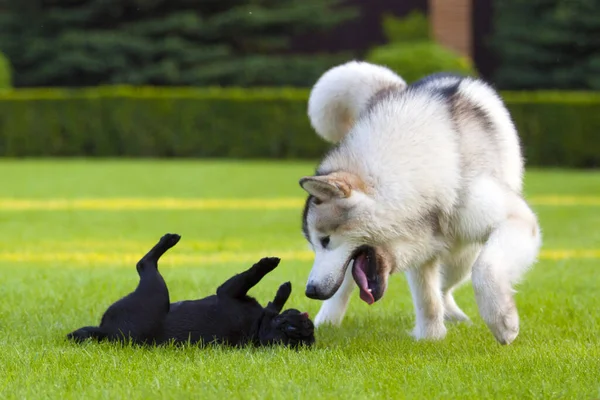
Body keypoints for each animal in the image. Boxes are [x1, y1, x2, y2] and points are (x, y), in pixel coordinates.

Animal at [67, 233, 314, 348]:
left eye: (290, 330)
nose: (307, 325)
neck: (258, 328)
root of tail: (104, 332)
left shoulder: (228, 290)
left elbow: (251, 276)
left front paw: (267, 265)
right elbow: (273, 298)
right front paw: (284, 287)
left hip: (157, 291)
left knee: (143, 264)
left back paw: (168, 240)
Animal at [300, 61, 544, 344]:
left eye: (325, 240)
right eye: (314, 244)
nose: (310, 290)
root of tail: (396, 89)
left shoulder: (514, 220)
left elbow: (485, 270)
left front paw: (502, 321)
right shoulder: (422, 246)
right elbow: (427, 298)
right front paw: (431, 338)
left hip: (462, 254)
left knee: (449, 285)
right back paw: (326, 322)